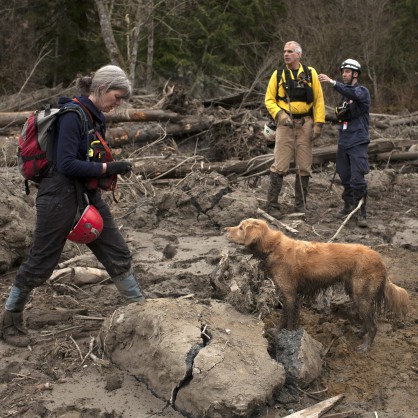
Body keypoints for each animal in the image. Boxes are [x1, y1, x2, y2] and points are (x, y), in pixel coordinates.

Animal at [225, 219, 408, 352]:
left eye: (241, 228)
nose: (225, 229)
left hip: (362, 296)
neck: (273, 247)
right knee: (366, 320)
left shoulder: (289, 294)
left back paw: (365, 346)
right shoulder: (292, 295)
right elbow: (290, 317)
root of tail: (380, 259)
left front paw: (281, 335)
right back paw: (360, 332)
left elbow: (286, 319)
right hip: (355, 293)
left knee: (373, 325)